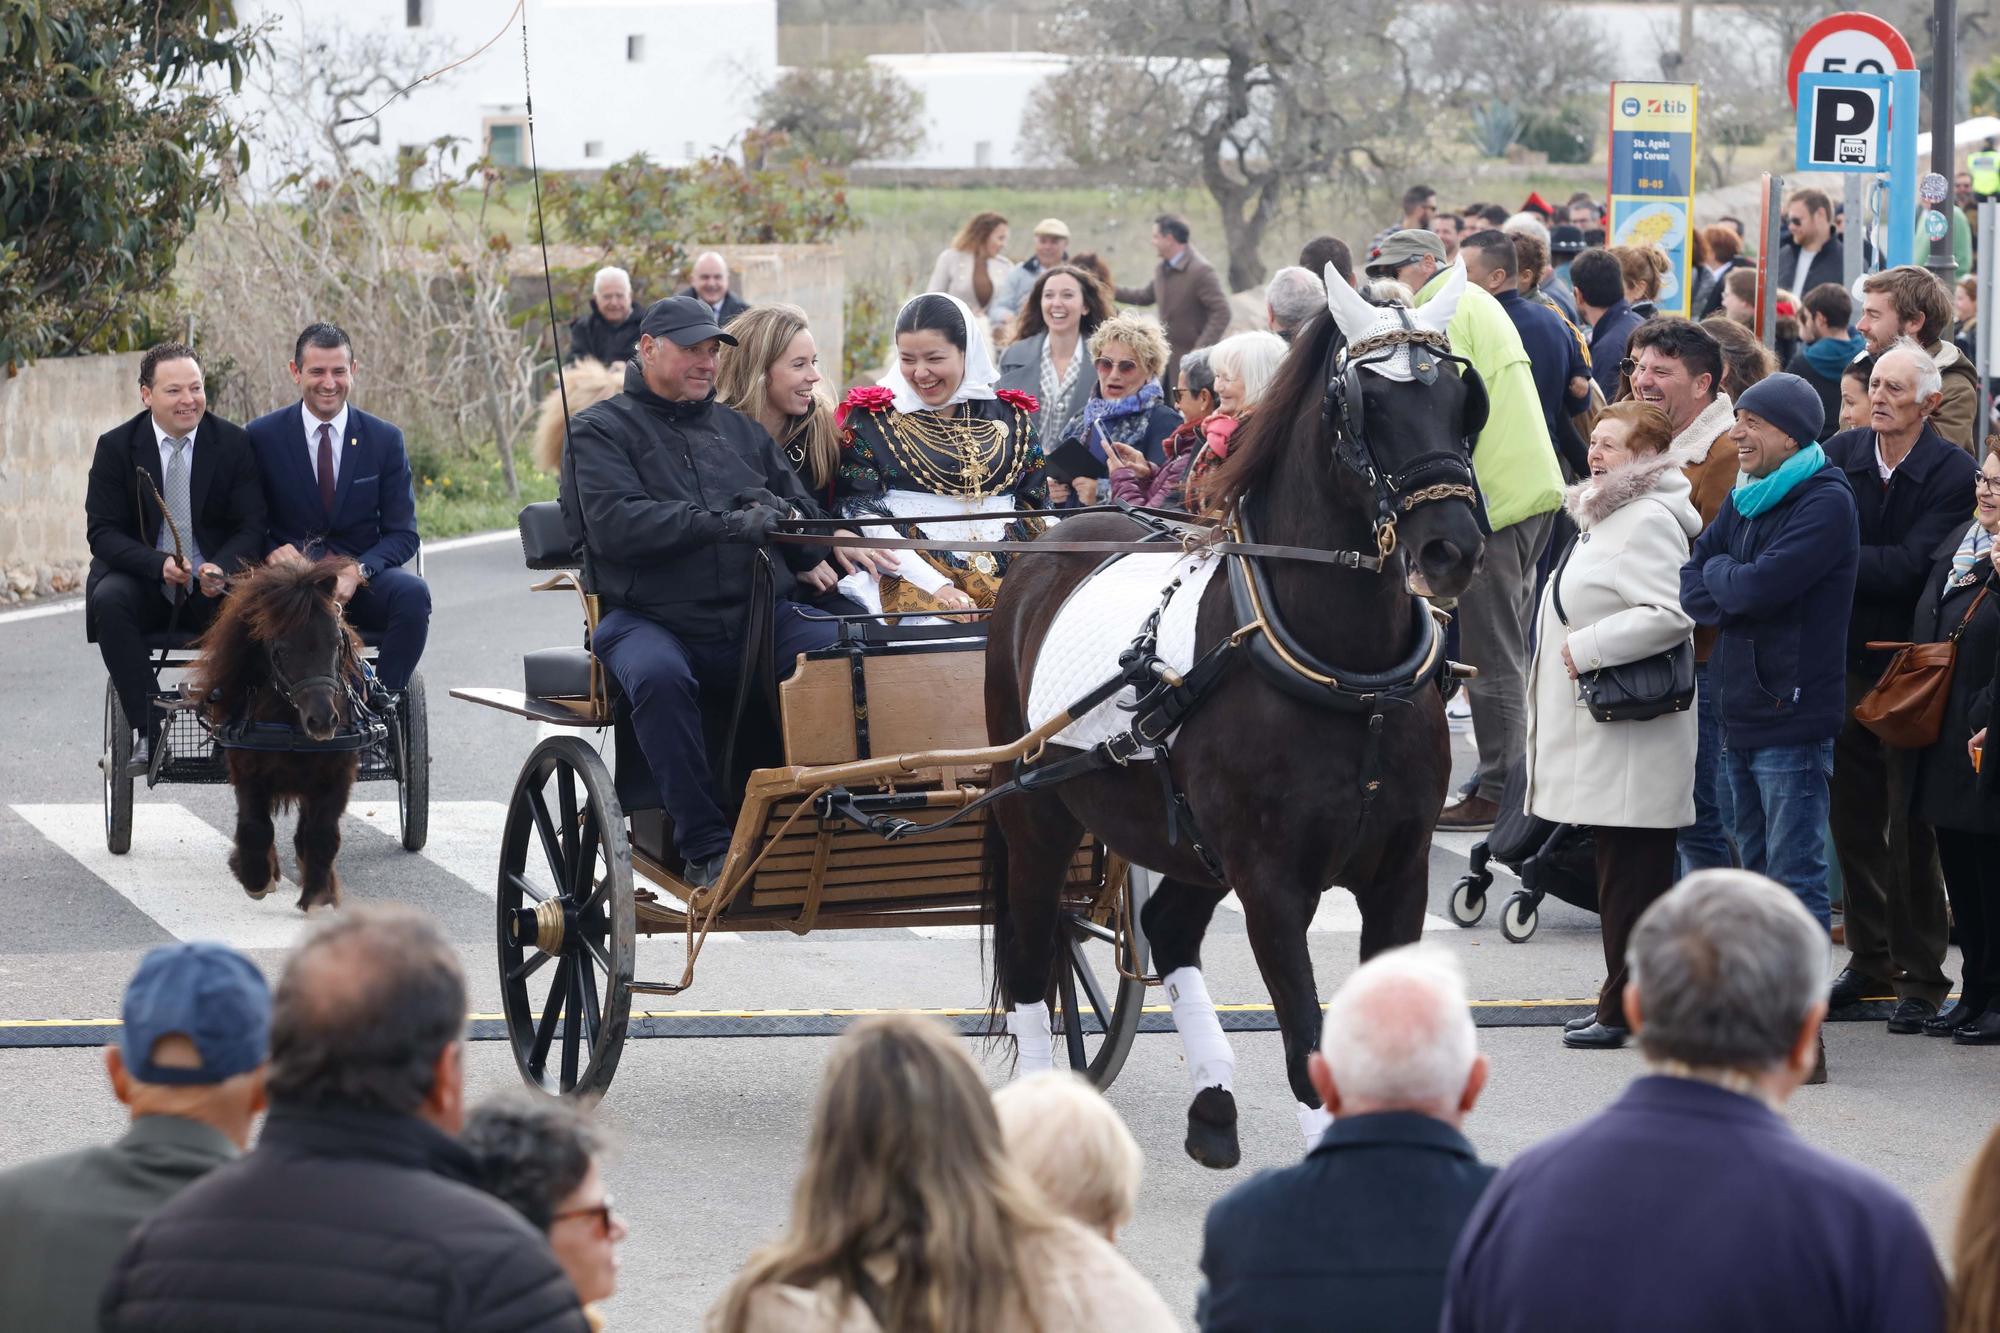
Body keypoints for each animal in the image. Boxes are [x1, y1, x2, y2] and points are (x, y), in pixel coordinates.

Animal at [195, 556, 372, 908]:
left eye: (337, 642)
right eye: (281, 650)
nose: (322, 721)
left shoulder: (337, 772)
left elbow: (322, 833)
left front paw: (318, 893)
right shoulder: (247, 771)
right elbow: (255, 826)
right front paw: (255, 878)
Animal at [980, 260, 1488, 1160]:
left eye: (1461, 397)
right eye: (1365, 404)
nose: (1450, 548)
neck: (1352, 683)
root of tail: (1048, 542)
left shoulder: (1397, 871)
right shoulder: (1273, 881)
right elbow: (1307, 1044)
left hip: (1188, 844)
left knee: (1167, 927)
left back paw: (1213, 1099)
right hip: (1038, 813)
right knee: (1035, 943)